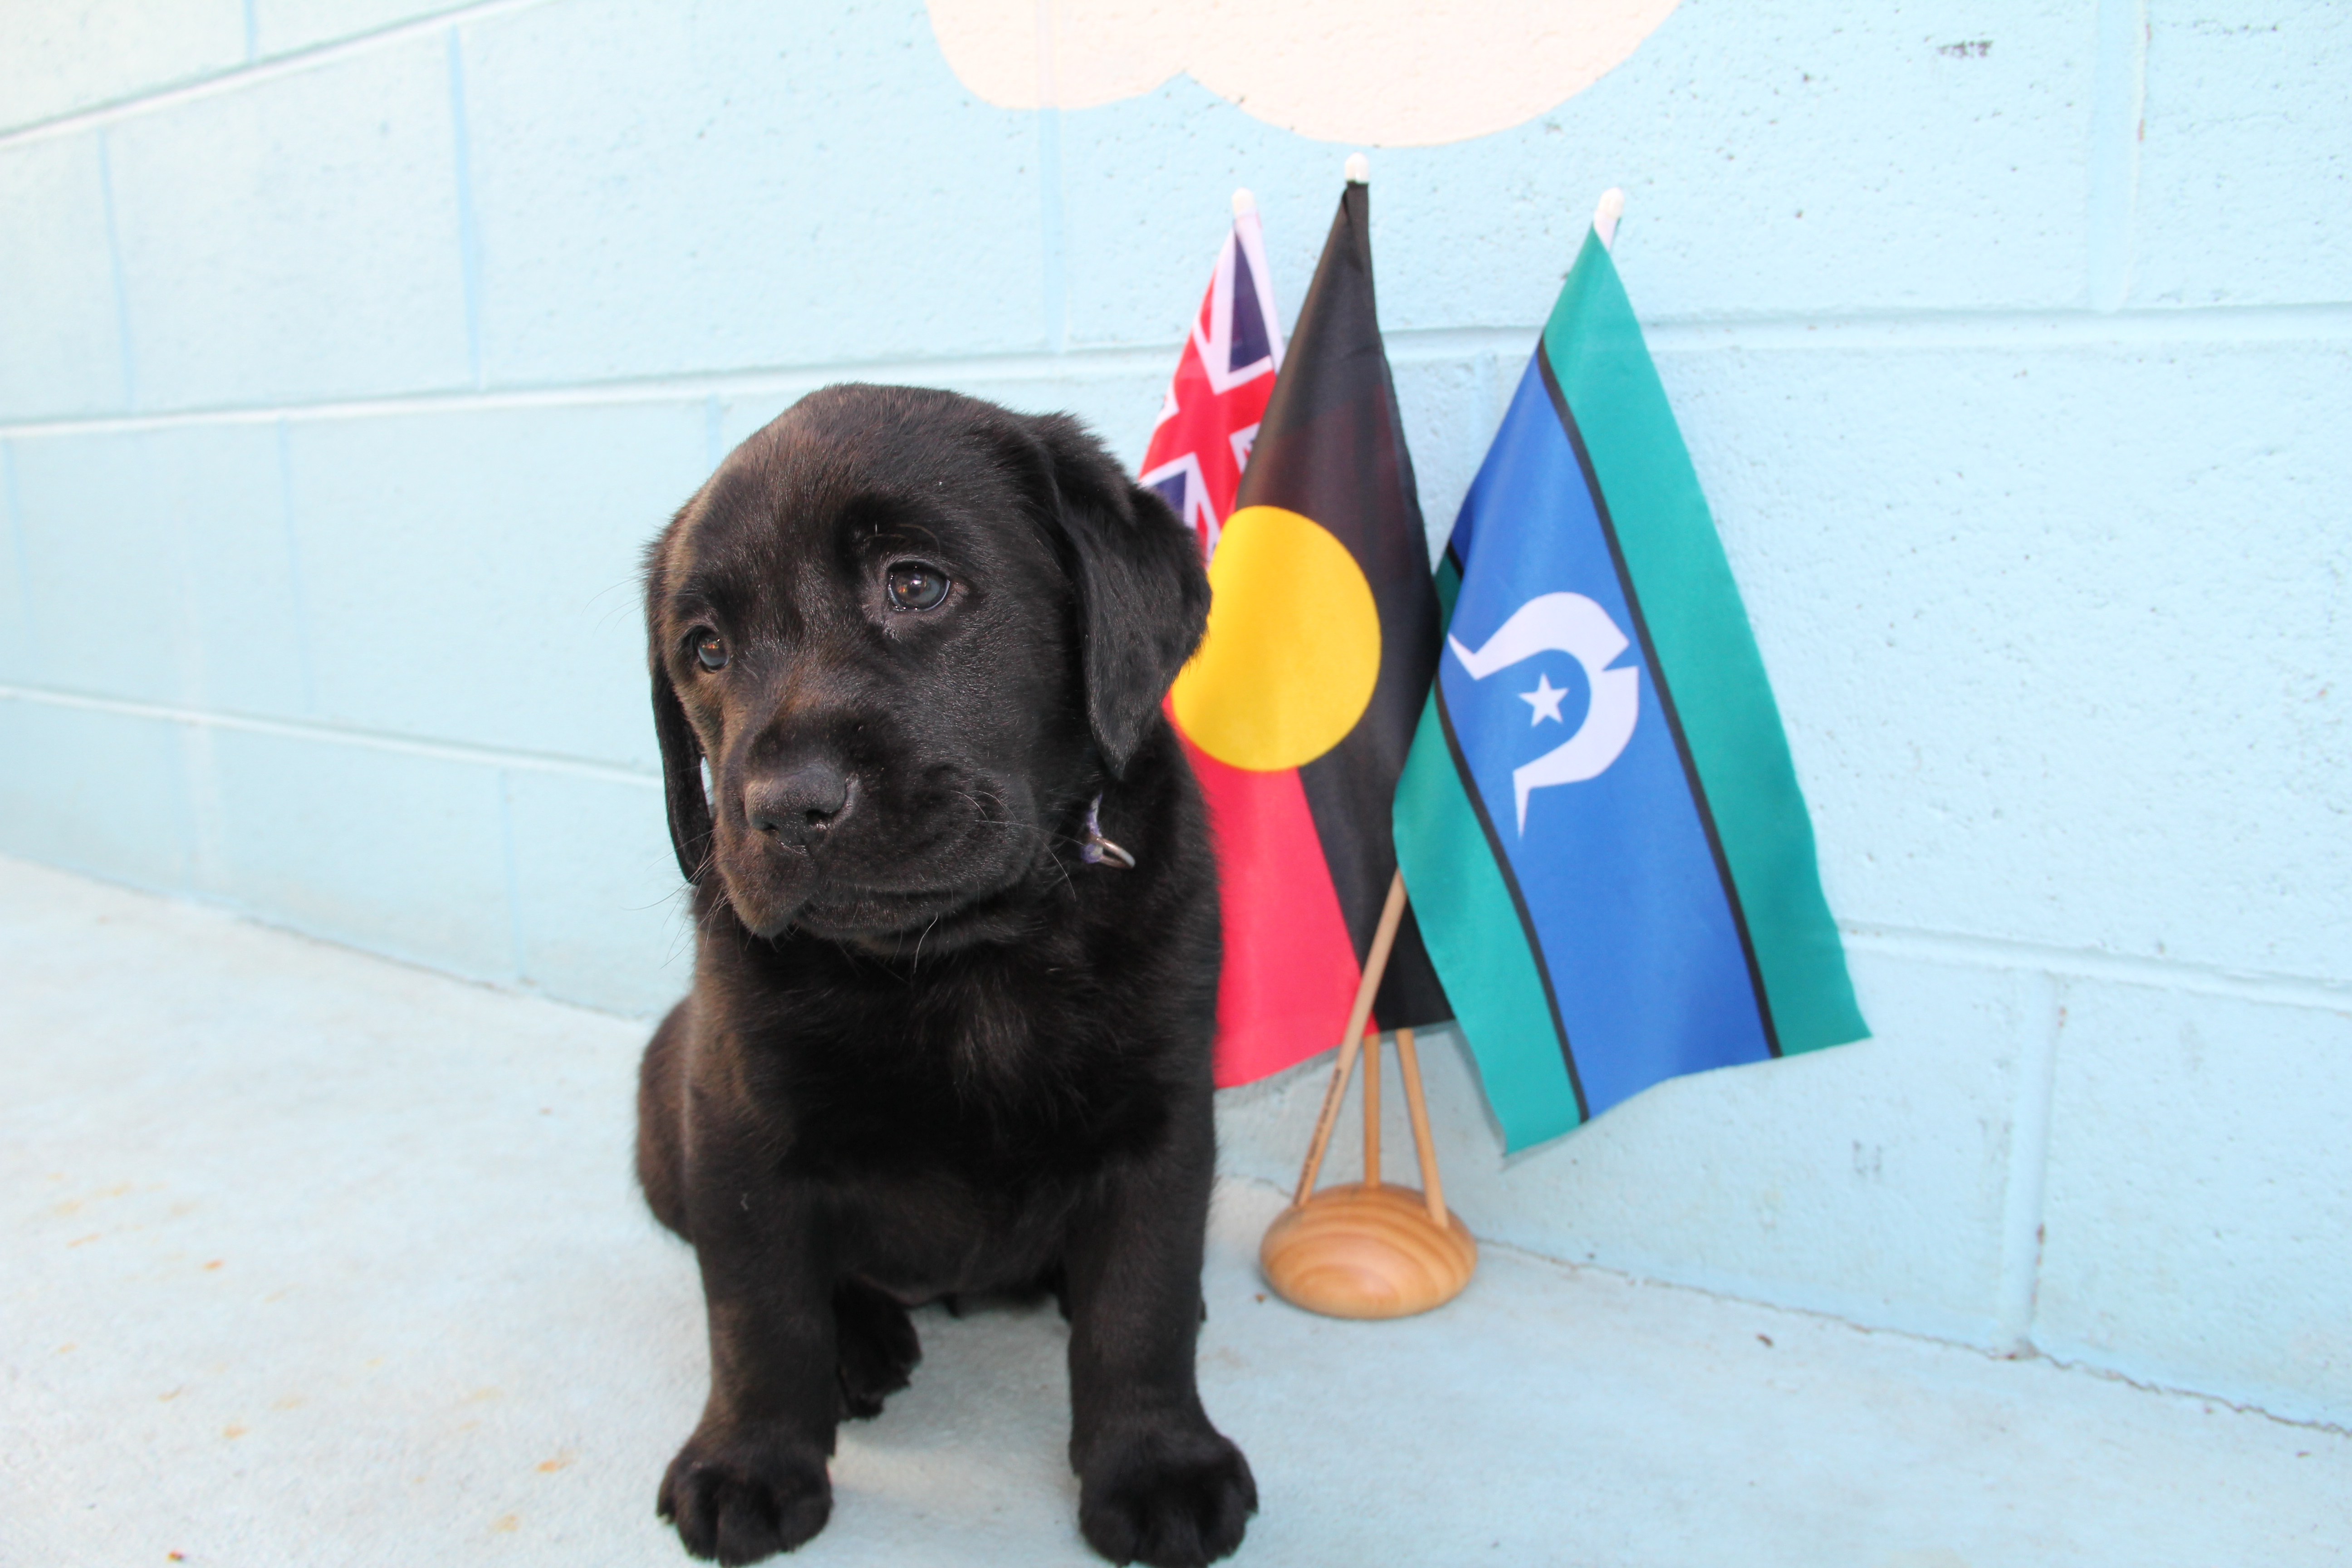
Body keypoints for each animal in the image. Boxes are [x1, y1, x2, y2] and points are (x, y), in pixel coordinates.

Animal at [635, 383, 1260, 1568]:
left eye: (915, 583)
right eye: (705, 649)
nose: (783, 806)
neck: (967, 952)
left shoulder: (1162, 1114)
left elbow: (1141, 1302)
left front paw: (1156, 1462)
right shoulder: (737, 1119)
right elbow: (757, 1311)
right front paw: (749, 1461)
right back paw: (861, 1341)